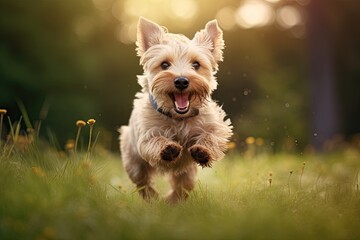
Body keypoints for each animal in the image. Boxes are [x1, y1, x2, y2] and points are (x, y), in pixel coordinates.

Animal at [119, 16, 233, 202]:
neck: (179, 117)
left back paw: (172, 201)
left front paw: (202, 151)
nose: (181, 81)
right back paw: (153, 199)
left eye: (196, 64)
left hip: (187, 173)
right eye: (164, 64)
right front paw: (168, 148)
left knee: (182, 186)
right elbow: (154, 140)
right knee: (143, 182)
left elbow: (213, 135)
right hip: (133, 160)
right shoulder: (146, 134)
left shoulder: (214, 125)